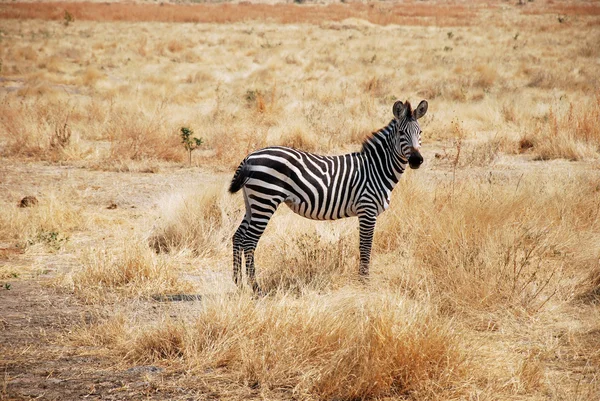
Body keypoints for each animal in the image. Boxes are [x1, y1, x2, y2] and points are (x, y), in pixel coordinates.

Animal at [229, 99, 426, 294]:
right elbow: (365, 246)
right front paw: (364, 283)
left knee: (238, 237)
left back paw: (238, 283)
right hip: (265, 199)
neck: (376, 169)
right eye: (401, 132)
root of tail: (250, 157)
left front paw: (363, 281)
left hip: (252, 202)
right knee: (249, 241)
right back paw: (256, 288)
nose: (416, 160)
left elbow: (364, 246)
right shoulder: (367, 210)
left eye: (420, 132)